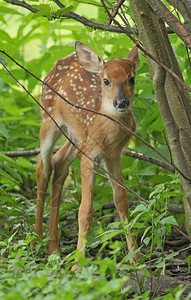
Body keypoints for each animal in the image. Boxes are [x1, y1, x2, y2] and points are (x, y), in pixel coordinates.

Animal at [34, 41, 140, 262]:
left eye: (131, 79)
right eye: (106, 80)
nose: (121, 103)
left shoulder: (113, 154)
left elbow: (122, 201)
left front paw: (137, 258)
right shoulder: (90, 155)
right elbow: (85, 209)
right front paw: (78, 263)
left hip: (75, 137)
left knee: (59, 162)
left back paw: (53, 247)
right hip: (48, 118)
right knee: (43, 167)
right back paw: (35, 241)